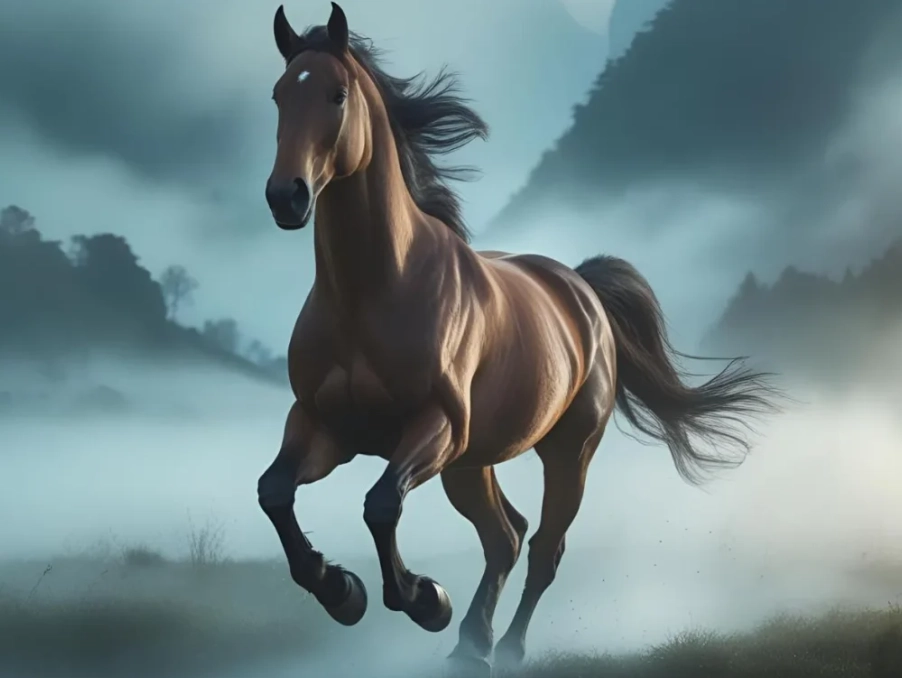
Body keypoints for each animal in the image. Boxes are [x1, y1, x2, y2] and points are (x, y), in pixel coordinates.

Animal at [257, 3, 779, 674]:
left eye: (337, 94)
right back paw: (470, 644)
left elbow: (380, 504)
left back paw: (500, 647)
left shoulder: (433, 426)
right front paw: (341, 590)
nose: (286, 197)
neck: (373, 291)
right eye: (278, 95)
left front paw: (424, 599)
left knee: (541, 547)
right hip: (471, 462)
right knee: (504, 536)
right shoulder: (324, 426)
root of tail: (581, 288)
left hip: (564, 451)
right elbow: (275, 493)